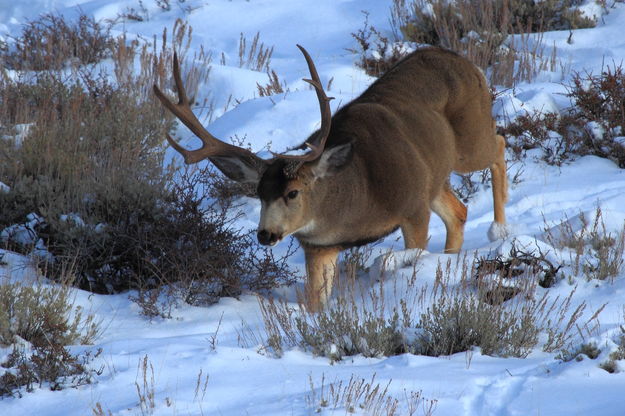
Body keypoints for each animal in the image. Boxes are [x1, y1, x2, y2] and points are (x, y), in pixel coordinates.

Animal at [155, 45, 508, 312]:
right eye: (259, 192)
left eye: (293, 192)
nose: (266, 234)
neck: (360, 196)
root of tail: (460, 58)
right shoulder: (319, 246)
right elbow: (316, 301)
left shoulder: (412, 208)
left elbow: (410, 251)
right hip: (435, 177)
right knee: (458, 211)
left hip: (468, 143)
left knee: (499, 142)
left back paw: (499, 230)